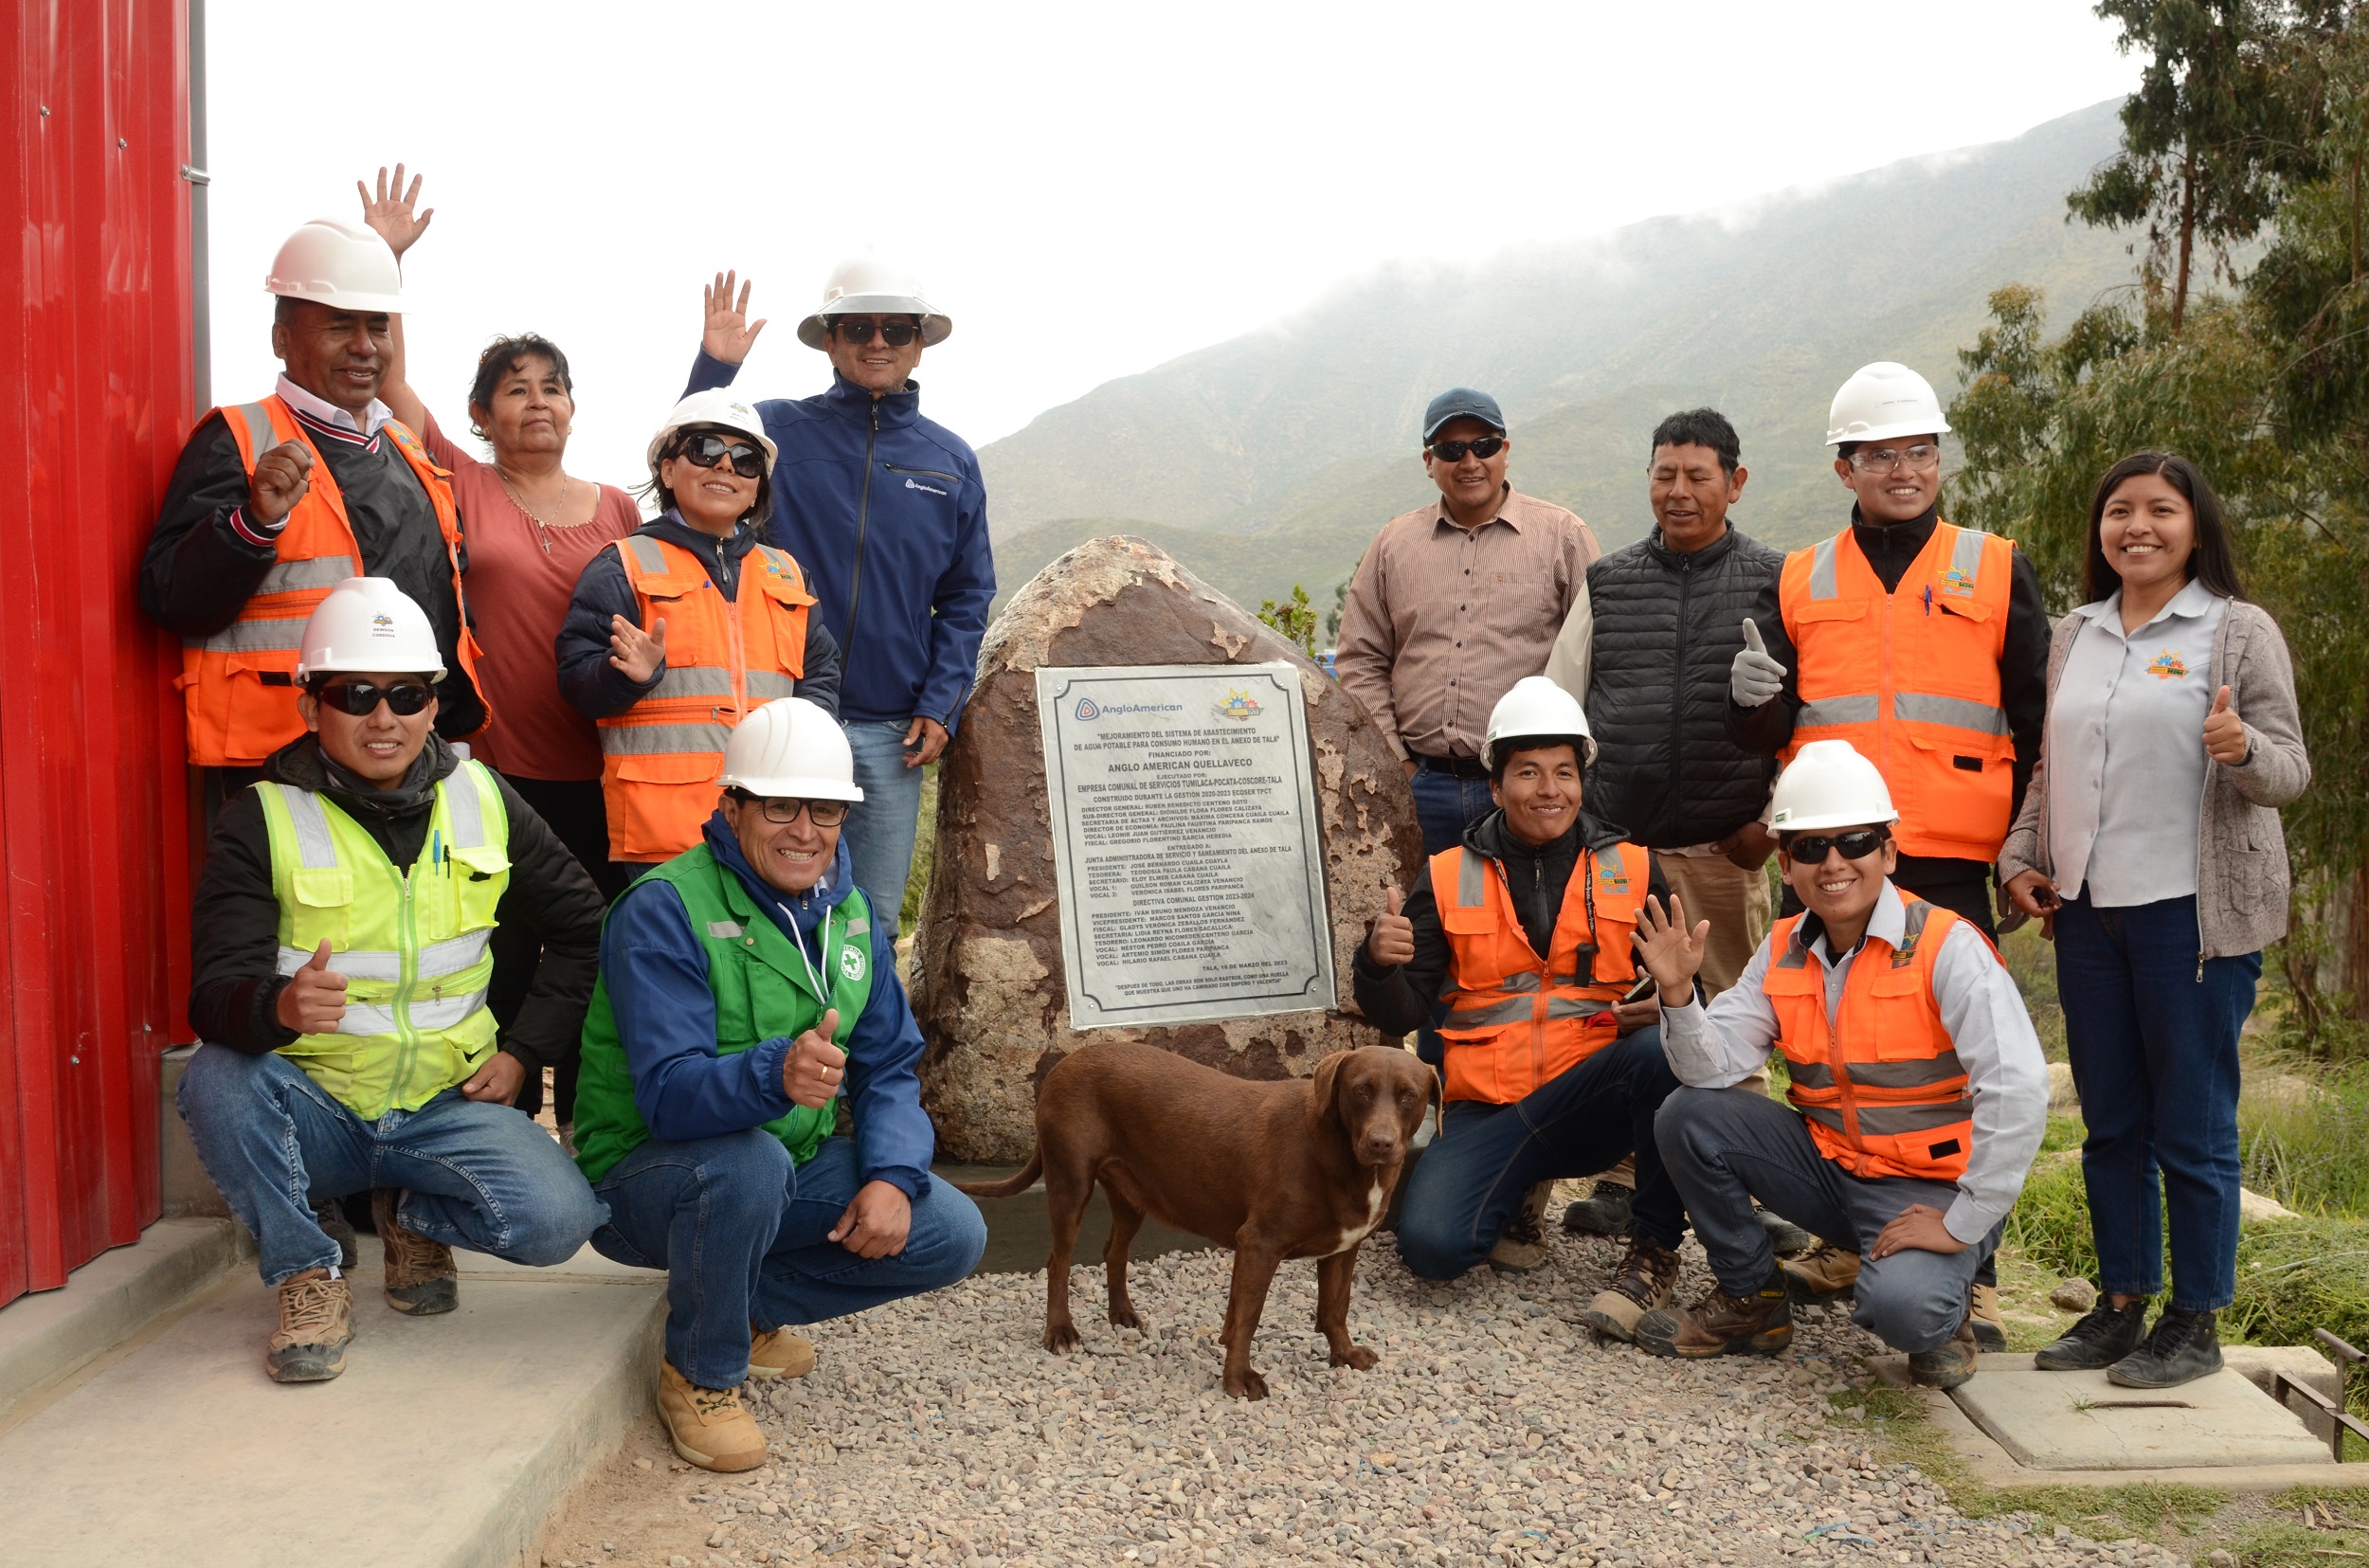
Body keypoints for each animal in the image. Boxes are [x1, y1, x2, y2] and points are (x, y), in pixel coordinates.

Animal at [952, 1042, 1431, 1402]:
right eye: (1361, 1090)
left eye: (1408, 1095)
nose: (1381, 1143)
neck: (1339, 1156)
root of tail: (1064, 1063)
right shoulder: (1259, 1243)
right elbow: (1248, 1317)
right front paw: (1238, 1379)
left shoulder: (1344, 1247)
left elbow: (1334, 1307)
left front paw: (1345, 1355)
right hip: (1070, 1181)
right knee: (1058, 1260)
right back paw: (1060, 1332)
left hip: (1132, 1194)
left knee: (1114, 1251)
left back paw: (1121, 1313)